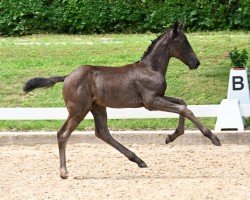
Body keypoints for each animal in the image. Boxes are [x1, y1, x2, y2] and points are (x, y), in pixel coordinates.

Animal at [23, 22, 221, 179]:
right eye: (184, 42)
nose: (196, 63)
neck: (151, 68)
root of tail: (67, 77)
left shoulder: (158, 97)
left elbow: (182, 103)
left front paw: (171, 137)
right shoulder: (150, 102)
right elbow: (184, 109)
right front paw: (213, 138)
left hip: (97, 107)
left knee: (102, 132)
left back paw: (139, 160)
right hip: (79, 110)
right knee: (64, 134)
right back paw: (64, 172)